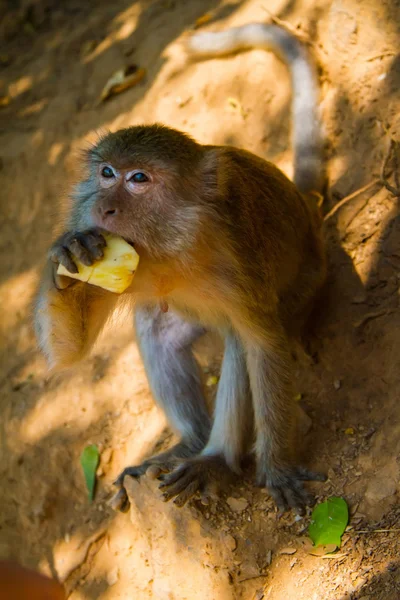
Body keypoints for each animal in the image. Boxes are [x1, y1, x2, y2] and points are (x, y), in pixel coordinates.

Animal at [33, 22, 328, 510]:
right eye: (107, 173)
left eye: (138, 179)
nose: (104, 208)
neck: (168, 248)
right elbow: (72, 353)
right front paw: (67, 259)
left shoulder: (237, 260)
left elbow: (263, 345)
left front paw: (276, 468)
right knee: (156, 329)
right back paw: (189, 443)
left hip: (305, 289)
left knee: (238, 343)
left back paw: (215, 459)